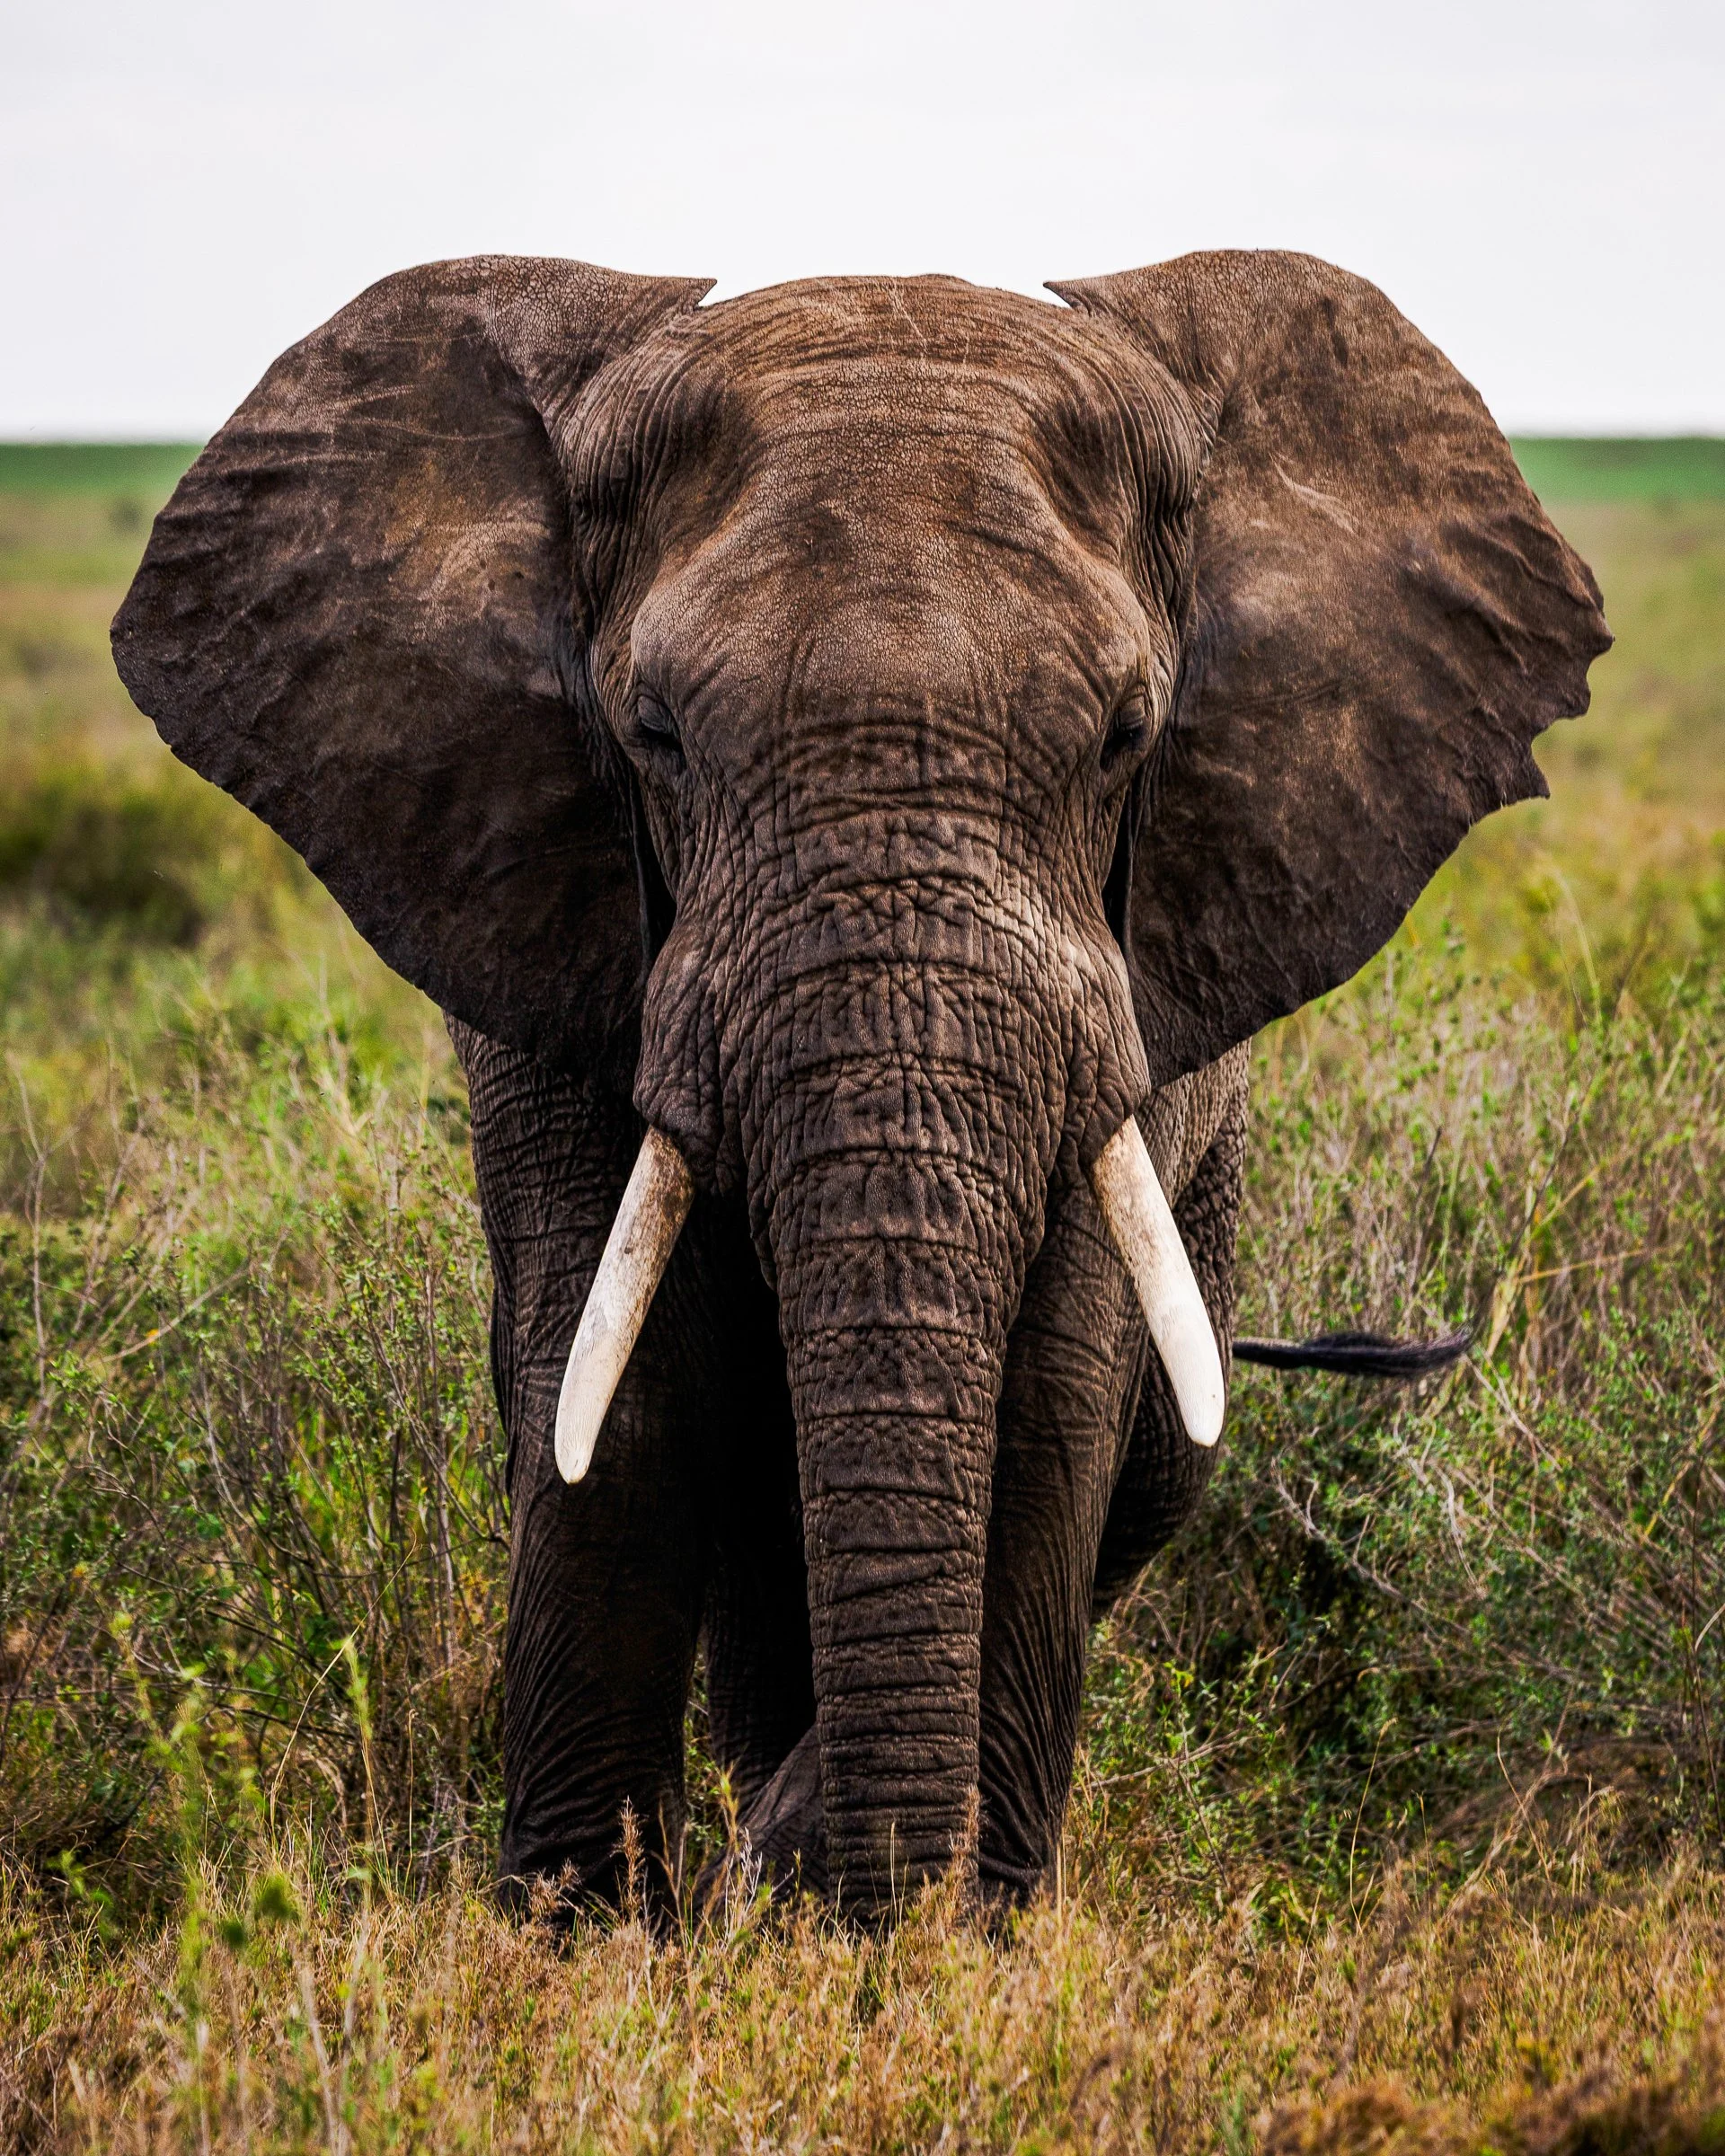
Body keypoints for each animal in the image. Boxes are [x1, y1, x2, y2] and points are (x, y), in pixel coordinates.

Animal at [112, 249, 1608, 1920]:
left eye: (1126, 739)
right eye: (654, 736)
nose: (785, 1875)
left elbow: (1052, 1394)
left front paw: (960, 1932)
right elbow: (618, 1389)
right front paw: (577, 1935)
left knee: (1144, 1470)